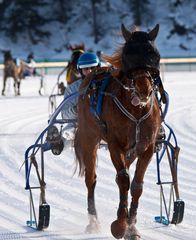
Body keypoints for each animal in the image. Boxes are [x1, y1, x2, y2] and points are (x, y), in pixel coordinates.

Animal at [74, 23, 162, 239]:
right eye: (128, 55)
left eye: (154, 54)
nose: (144, 89)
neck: (136, 110)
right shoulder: (115, 144)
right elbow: (123, 180)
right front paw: (120, 225)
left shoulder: (147, 147)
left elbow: (136, 185)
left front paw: (132, 227)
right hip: (89, 137)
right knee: (91, 179)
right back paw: (93, 221)